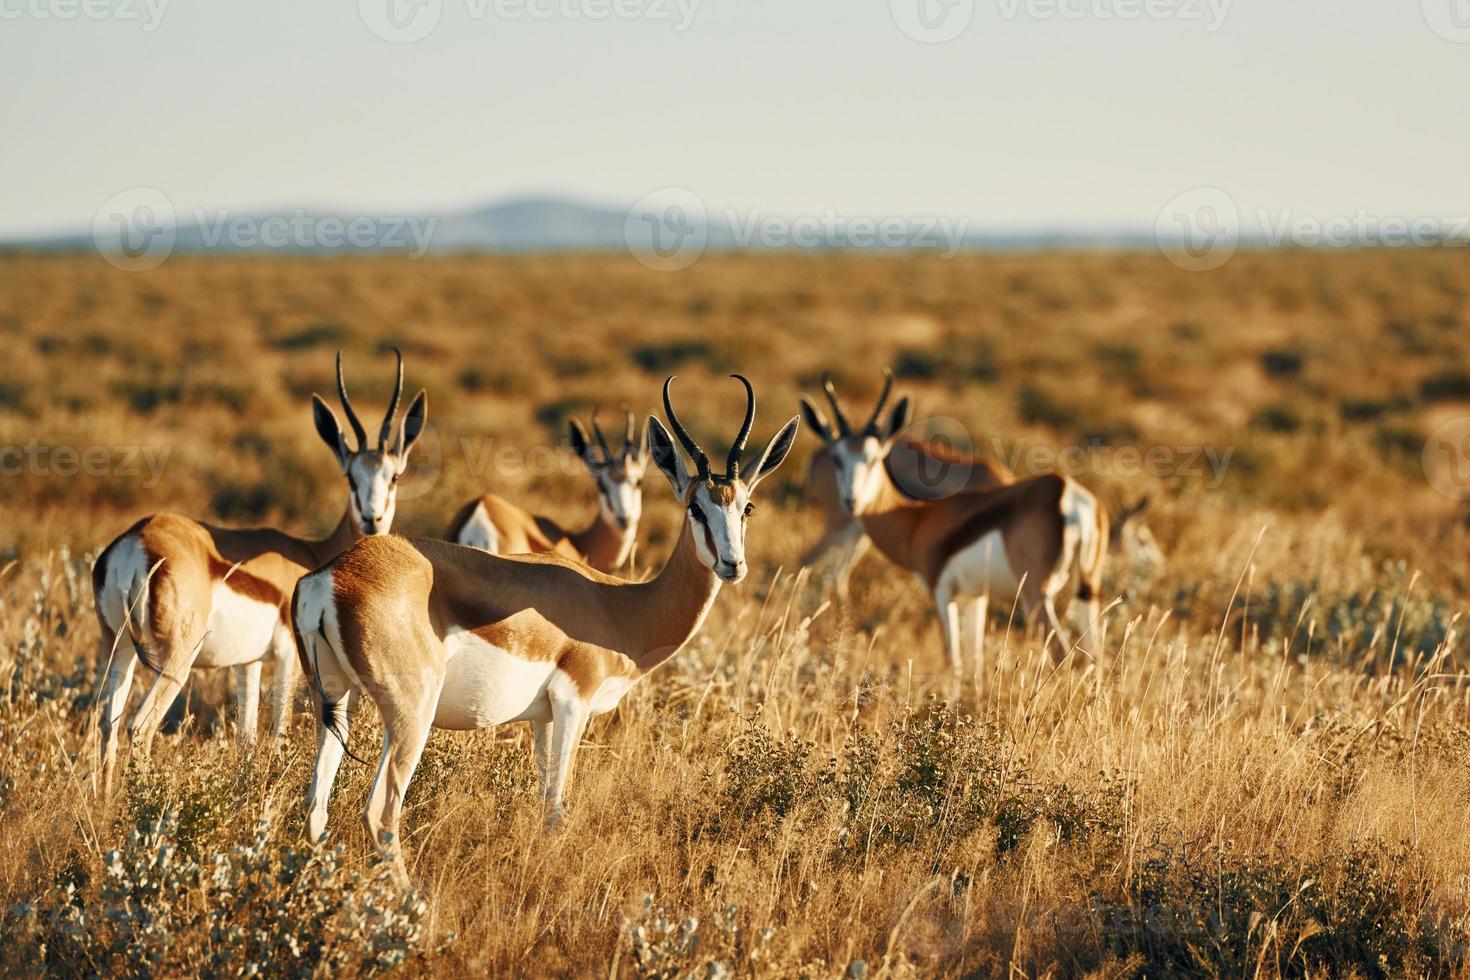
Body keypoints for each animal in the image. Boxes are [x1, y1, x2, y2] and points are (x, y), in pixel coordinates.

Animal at [90, 351, 426, 787]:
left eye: (394, 475)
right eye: (351, 476)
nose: (372, 519)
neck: (312, 554)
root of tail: (137, 539)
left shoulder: (247, 663)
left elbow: (247, 738)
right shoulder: (288, 656)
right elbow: (279, 730)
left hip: (119, 647)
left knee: (107, 725)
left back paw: (104, 801)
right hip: (175, 657)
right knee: (139, 726)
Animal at [805, 379, 1011, 599]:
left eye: (874, 459)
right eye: (838, 459)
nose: (851, 501)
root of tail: (817, 455)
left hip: (857, 535)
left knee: (837, 574)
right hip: (839, 528)